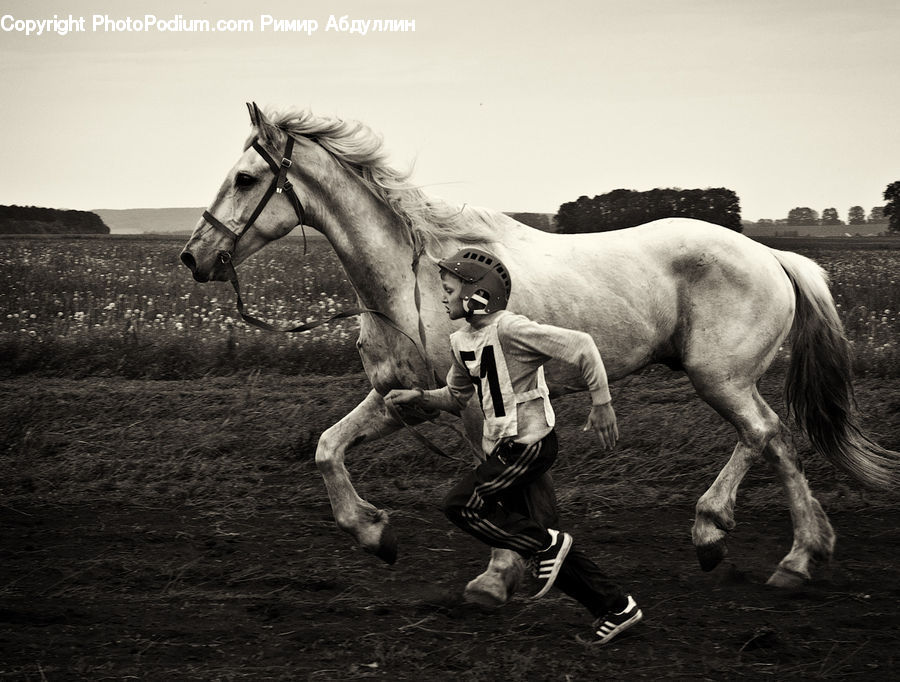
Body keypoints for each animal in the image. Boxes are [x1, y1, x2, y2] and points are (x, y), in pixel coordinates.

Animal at [180, 103, 899, 605]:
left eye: (245, 178)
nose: (194, 256)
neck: (412, 280)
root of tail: (774, 256)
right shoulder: (404, 397)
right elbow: (329, 449)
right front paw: (374, 534)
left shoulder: (475, 409)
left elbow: (495, 489)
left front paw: (495, 577)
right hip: (726, 379)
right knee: (775, 442)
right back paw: (794, 553)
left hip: (720, 377)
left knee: (765, 437)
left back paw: (736, 540)